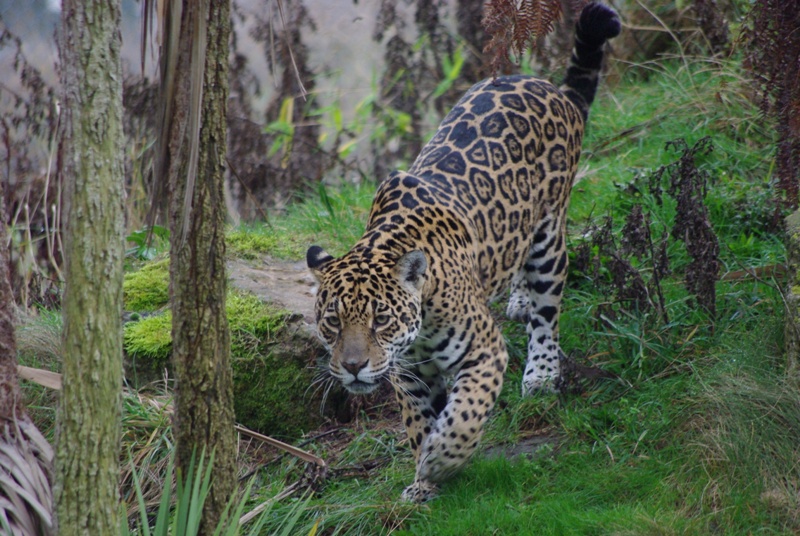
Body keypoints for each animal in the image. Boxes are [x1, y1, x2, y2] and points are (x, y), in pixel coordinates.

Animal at [306, 2, 621, 503]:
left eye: (380, 319)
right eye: (333, 322)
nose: (354, 368)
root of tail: (549, 87)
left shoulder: (484, 352)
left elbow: (465, 413)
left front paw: (441, 459)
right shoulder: (409, 375)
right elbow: (419, 424)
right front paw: (423, 482)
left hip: (550, 237)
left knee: (547, 314)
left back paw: (541, 373)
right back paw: (517, 299)